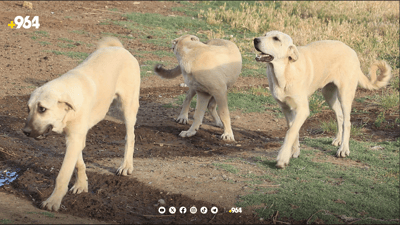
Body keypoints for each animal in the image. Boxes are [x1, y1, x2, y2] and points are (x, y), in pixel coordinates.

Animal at [22, 37, 141, 211]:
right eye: (28, 109)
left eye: (42, 109)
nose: (25, 131)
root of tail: (119, 48)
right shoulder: (74, 138)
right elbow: (79, 163)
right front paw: (81, 185)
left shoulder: (74, 140)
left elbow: (63, 175)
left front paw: (53, 201)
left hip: (128, 107)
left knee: (130, 137)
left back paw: (126, 165)